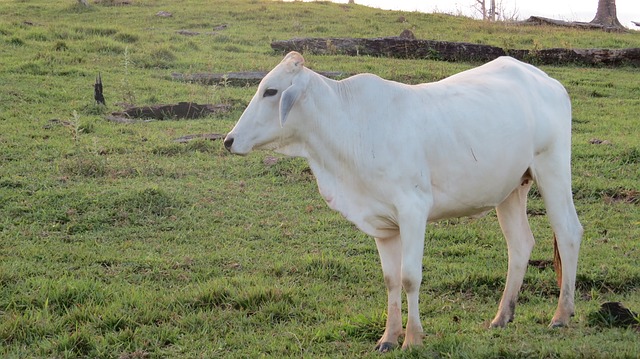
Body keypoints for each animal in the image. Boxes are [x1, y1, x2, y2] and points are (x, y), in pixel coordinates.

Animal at [222, 51, 584, 352]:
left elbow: (410, 276)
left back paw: (561, 314)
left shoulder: (413, 210)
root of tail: (546, 80)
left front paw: (412, 338)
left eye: (271, 91)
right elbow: (391, 279)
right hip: (510, 188)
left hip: (552, 167)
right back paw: (502, 316)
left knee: (568, 232)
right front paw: (388, 337)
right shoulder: (383, 225)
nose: (229, 140)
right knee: (520, 244)